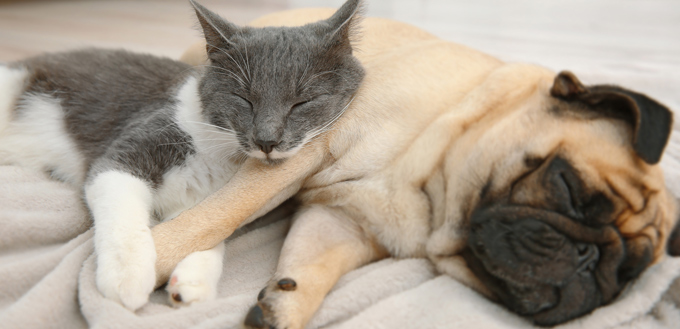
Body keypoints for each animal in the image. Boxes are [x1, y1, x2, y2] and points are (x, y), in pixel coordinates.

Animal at [0, 0, 364, 308]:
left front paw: (193, 280)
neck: (221, 148)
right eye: (243, 98)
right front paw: (127, 277)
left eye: (303, 102)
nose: (266, 140)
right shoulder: (133, 146)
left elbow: (208, 225)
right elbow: (117, 193)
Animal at [154, 6, 680, 326]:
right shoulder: (303, 151)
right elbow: (215, 216)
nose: (588, 260)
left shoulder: (342, 221)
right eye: (567, 185)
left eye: (627, 275)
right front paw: (148, 257)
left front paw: (283, 304)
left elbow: (311, 266)